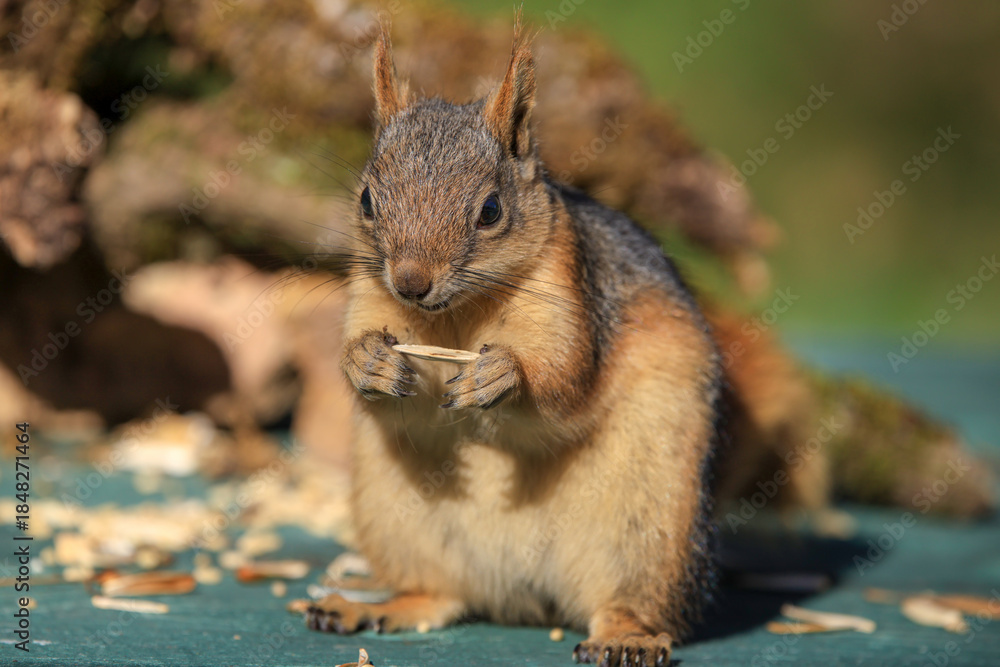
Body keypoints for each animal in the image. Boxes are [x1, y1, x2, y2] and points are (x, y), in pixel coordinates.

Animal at [305, 19, 723, 667]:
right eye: (367, 201)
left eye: (491, 210)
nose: (410, 283)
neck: (457, 314)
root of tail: (523, 595)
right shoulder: (368, 292)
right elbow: (375, 379)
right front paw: (368, 362)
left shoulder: (571, 291)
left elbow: (566, 380)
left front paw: (502, 375)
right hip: (396, 515)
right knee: (437, 592)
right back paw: (369, 606)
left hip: (651, 524)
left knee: (630, 599)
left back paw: (625, 637)